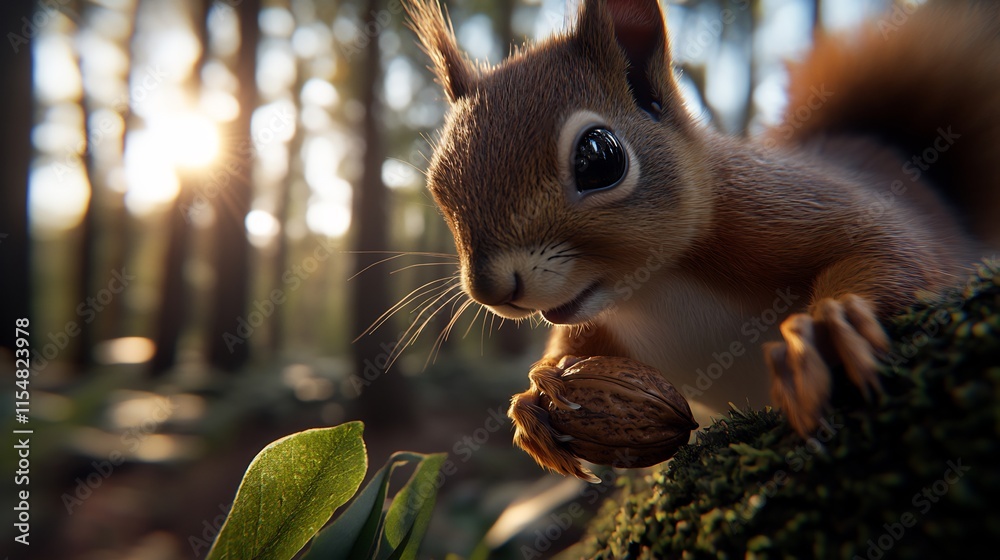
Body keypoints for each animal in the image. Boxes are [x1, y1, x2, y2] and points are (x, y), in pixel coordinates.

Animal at [403, 0, 1000, 455]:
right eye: (438, 187)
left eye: (599, 158)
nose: (490, 289)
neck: (653, 288)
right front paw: (534, 397)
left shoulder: (795, 206)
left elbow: (896, 251)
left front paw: (825, 328)